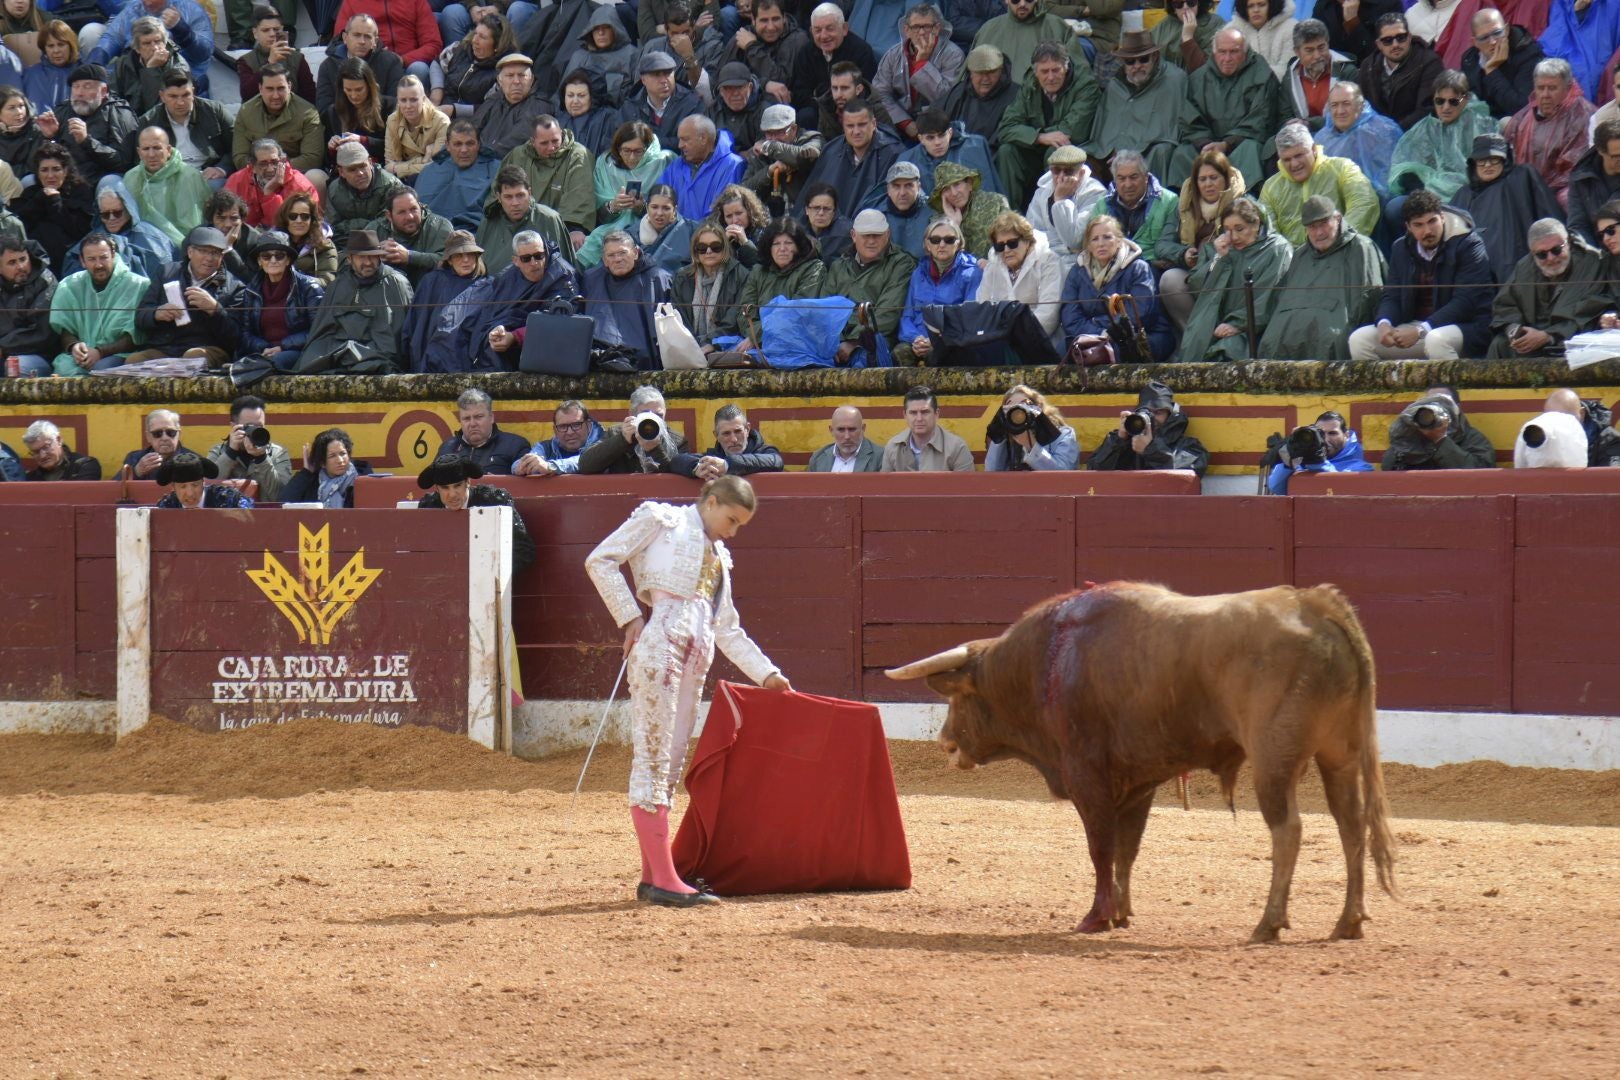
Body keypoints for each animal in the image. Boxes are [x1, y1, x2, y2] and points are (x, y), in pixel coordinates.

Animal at [881, 582, 1399, 945]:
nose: (947, 743)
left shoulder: (1087, 774)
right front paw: (1121, 912)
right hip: (1338, 757)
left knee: (1288, 829)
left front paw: (1095, 917)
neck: (1046, 662)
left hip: (1274, 759)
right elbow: (1127, 848)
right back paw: (1348, 922)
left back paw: (1268, 923)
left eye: (959, 697)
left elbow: (1101, 847)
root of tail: (1315, 604)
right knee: (1351, 825)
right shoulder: (1139, 781)